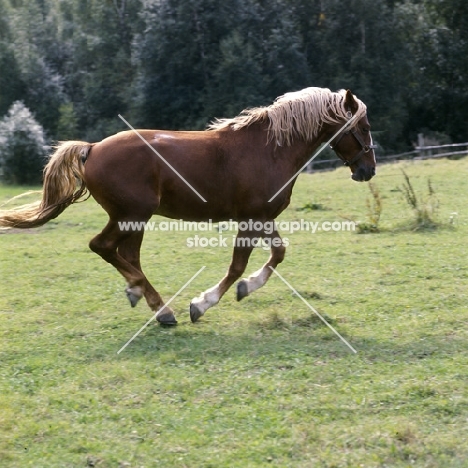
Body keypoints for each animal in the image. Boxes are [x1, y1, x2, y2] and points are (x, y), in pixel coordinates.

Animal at [0, 87, 376, 326]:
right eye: (363, 127)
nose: (367, 170)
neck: (270, 150)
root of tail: (91, 149)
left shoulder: (262, 217)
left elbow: (278, 253)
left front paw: (245, 288)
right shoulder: (250, 219)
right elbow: (237, 266)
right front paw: (202, 304)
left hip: (133, 219)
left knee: (126, 254)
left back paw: (146, 299)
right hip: (131, 215)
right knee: (103, 247)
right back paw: (159, 306)